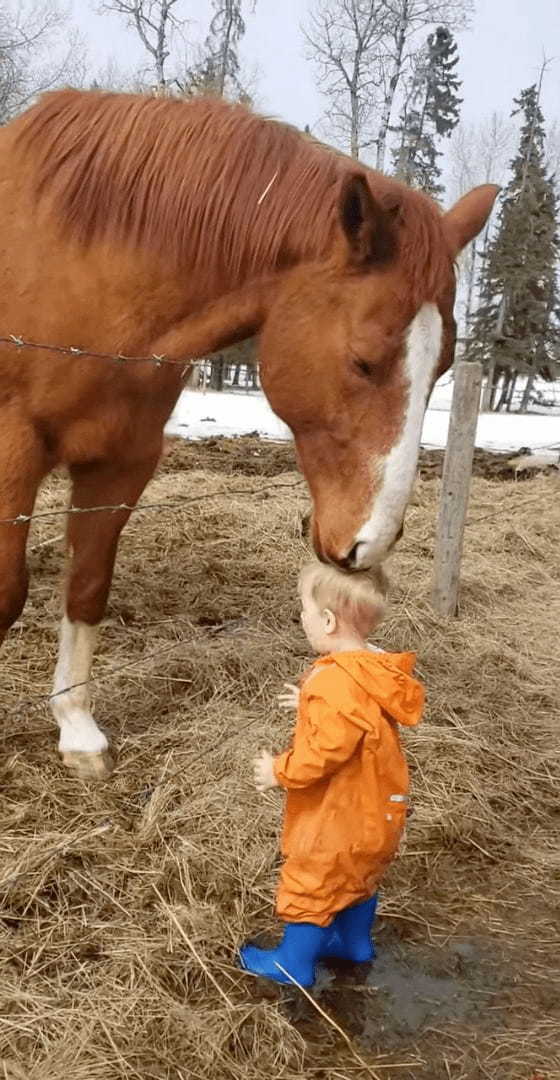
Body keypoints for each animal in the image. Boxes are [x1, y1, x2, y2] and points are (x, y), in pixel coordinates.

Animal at [0, 86, 500, 777]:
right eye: (363, 360)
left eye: (445, 366)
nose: (368, 544)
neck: (80, 274)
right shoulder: (13, 449)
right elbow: (6, 592)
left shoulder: (122, 462)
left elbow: (87, 586)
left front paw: (77, 733)